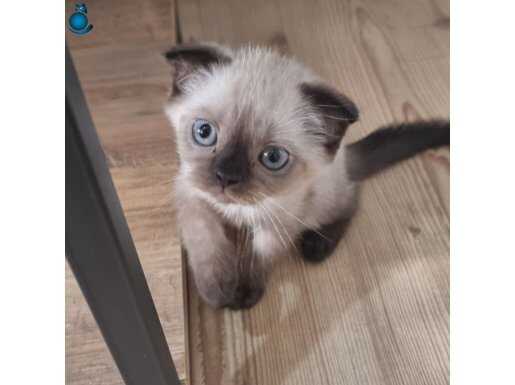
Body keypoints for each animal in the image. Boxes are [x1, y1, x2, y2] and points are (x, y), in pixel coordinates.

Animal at [163, 43, 450, 310]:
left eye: (273, 157)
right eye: (204, 132)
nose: (225, 177)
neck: (239, 210)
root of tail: (344, 155)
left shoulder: (282, 216)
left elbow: (260, 255)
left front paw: (245, 292)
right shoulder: (190, 194)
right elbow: (205, 241)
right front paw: (217, 291)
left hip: (321, 201)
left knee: (351, 200)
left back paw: (317, 246)